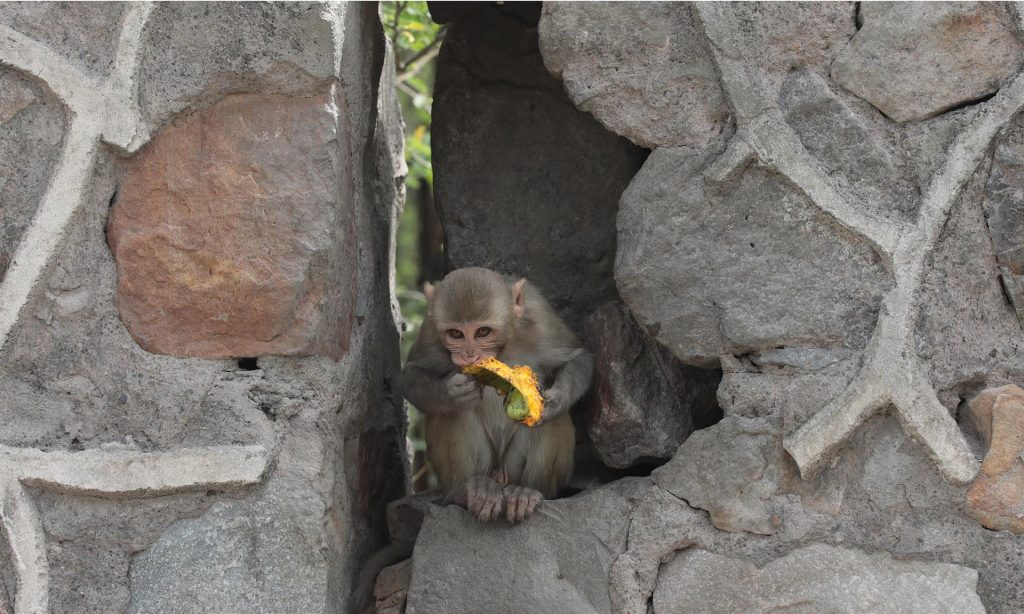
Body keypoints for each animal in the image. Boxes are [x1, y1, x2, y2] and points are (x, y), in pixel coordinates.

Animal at [400, 267, 593, 523]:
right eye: (456, 334)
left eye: (483, 332)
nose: (470, 356)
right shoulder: (430, 329)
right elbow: (411, 373)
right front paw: (451, 393)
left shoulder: (540, 317)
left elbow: (578, 358)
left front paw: (553, 401)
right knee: (454, 413)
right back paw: (468, 492)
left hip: (513, 470)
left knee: (551, 421)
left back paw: (527, 491)